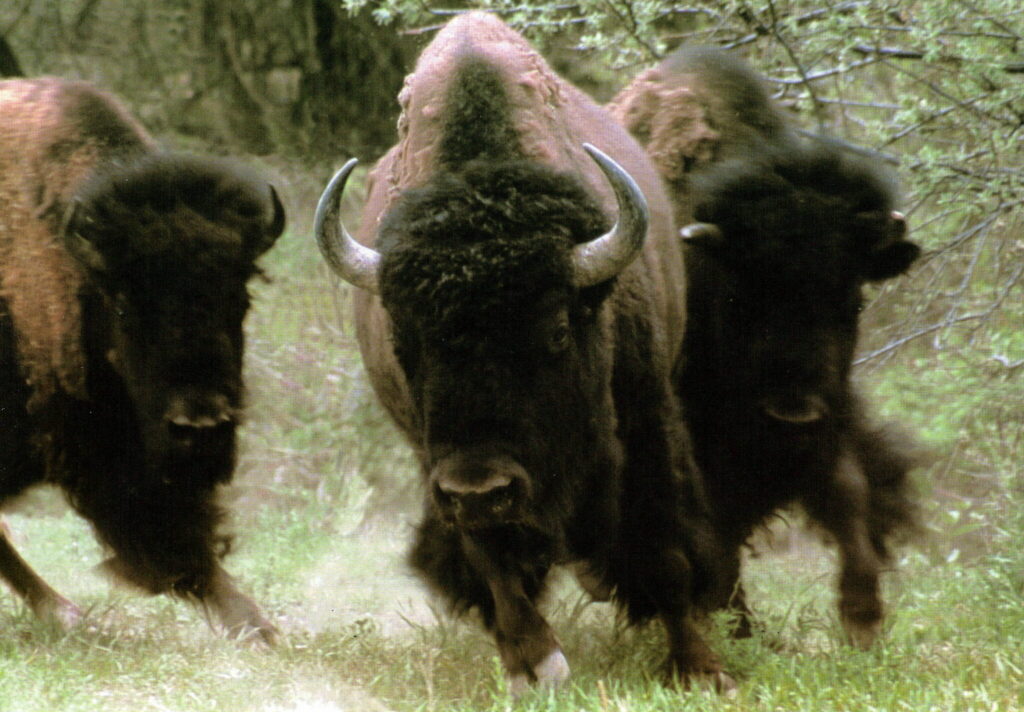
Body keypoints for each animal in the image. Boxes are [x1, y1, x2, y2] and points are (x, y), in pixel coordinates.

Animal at [314, 13, 730, 692]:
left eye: (556, 331)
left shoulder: (648, 423)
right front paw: (535, 667)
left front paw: (699, 670)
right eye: (404, 343)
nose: (480, 487)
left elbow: (664, 545)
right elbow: (495, 566)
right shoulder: (444, 473)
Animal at [611, 47, 921, 646]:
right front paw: (734, 629)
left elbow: (849, 494)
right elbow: (714, 536)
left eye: (852, 298)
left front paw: (863, 622)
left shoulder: (830, 422)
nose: (791, 411)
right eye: (740, 296)